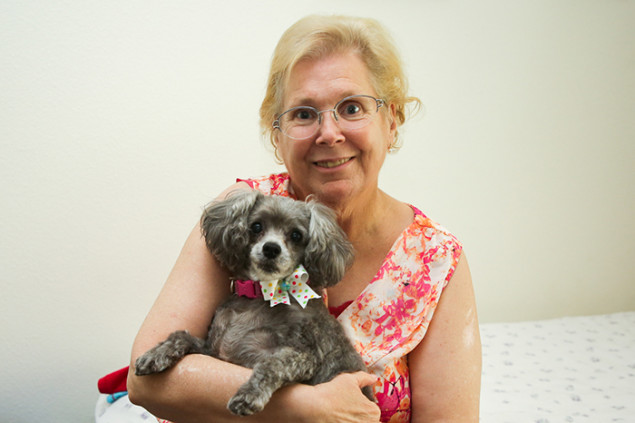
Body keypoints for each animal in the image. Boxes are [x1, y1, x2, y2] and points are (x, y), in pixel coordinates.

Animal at [134, 190, 372, 416]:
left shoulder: (304, 355)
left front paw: (249, 394)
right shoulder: (216, 351)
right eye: (256, 226)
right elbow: (181, 336)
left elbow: (271, 364)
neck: (260, 295)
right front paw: (155, 354)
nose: (271, 248)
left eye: (296, 235)